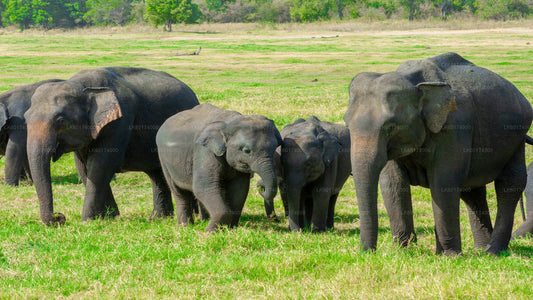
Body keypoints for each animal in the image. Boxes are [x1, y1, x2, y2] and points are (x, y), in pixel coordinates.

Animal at [25, 66, 200, 225]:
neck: (82, 86)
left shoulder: (120, 122)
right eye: (26, 118)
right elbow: (84, 168)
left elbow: (100, 165)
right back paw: (158, 217)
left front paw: (87, 221)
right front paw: (109, 217)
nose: (60, 218)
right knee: (157, 174)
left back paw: (193, 214)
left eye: (61, 120)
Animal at [155, 103, 282, 232]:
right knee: (178, 192)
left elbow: (240, 189)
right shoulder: (205, 151)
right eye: (247, 150)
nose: (261, 188)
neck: (229, 123)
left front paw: (231, 228)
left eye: (274, 148)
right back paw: (185, 226)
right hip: (163, 159)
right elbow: (203, 185)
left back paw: (204, 221)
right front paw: (210, 231)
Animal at [342, 52, 528, 254]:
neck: (413, 81)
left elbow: (443, 181)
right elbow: (392, 182)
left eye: (391, 127)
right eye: (346, 124)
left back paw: (492, 251)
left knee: (509, 183)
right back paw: (480, 249)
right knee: (472, 190)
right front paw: (403, 250)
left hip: (517, 137)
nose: (368, 252)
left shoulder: (454, 127)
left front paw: (449, 255)